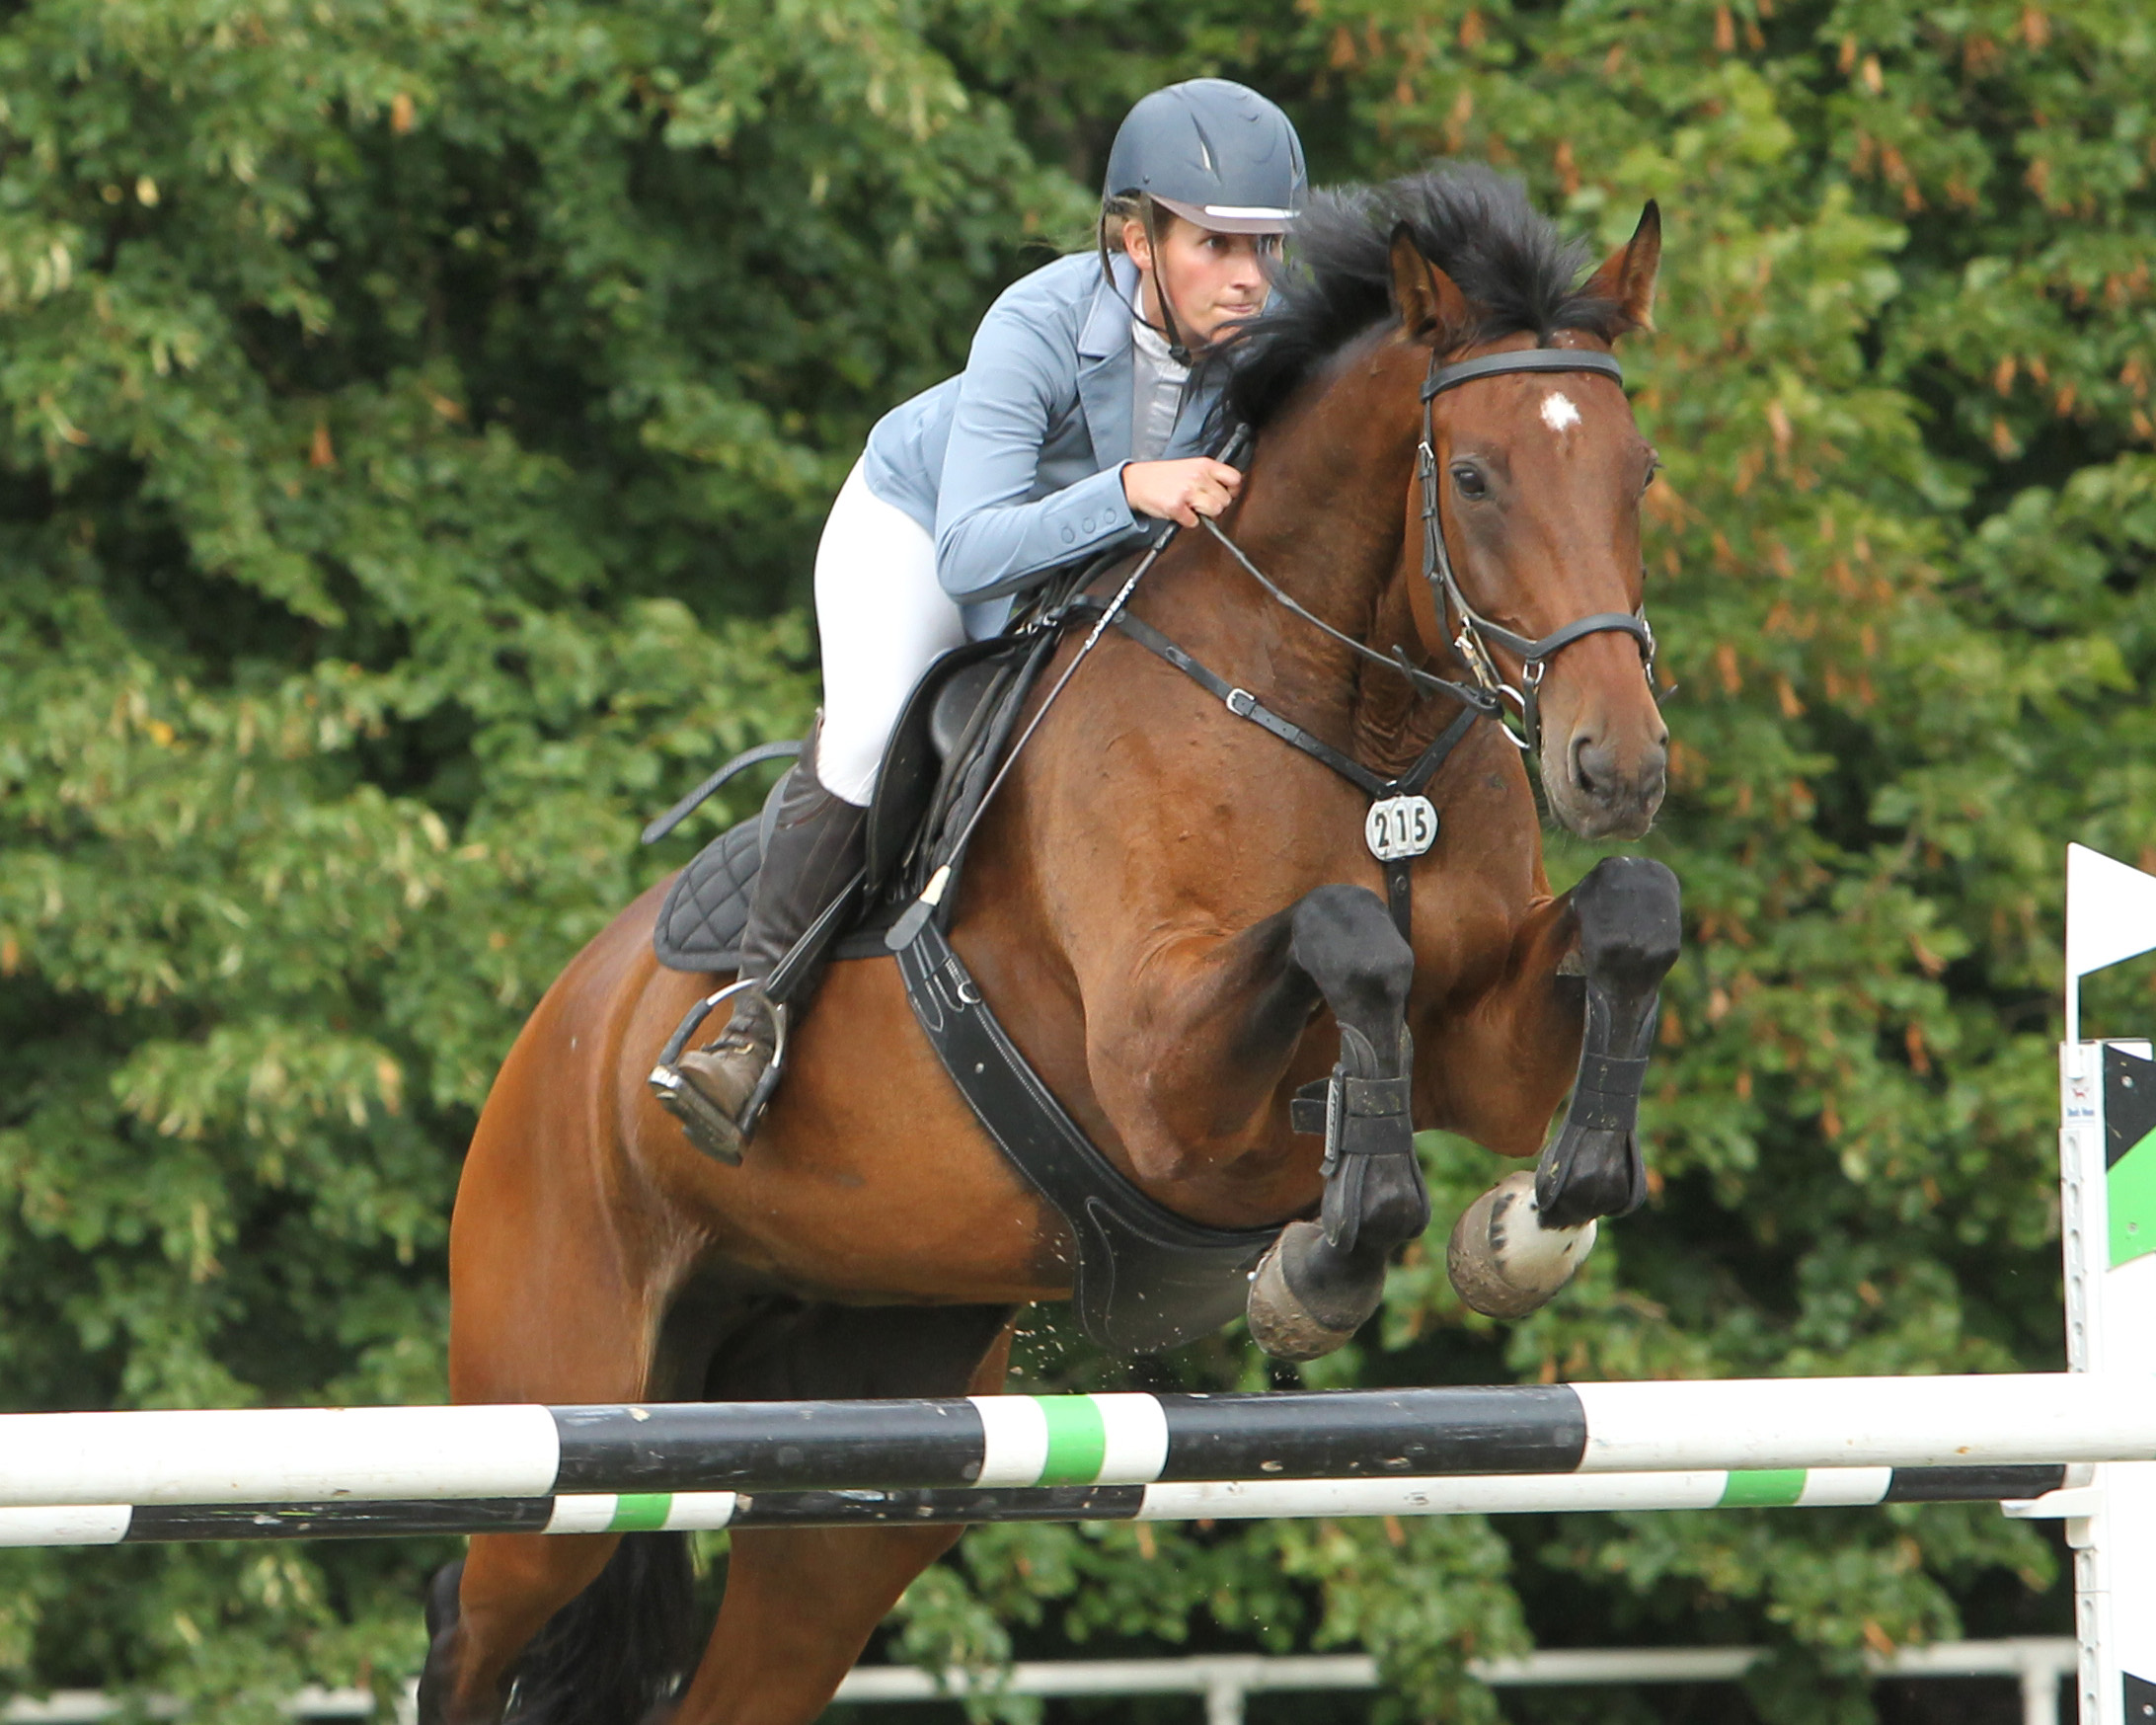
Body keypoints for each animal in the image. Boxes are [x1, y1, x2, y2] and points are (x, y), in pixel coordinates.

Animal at [412, 171, 1672, 1724]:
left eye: (1637, 473)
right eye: (1480, 478)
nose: (1615, 763)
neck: (1356, 721)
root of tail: (557, 1030)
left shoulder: (1482, 1046)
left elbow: (1632, 915)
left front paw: (1538, 1219)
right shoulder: (1158, 1089)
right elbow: (1345, 936)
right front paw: (1324, 1261)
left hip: (856, 1456)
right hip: (557, 1403)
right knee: (476, 1611)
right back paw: (727, 1058)